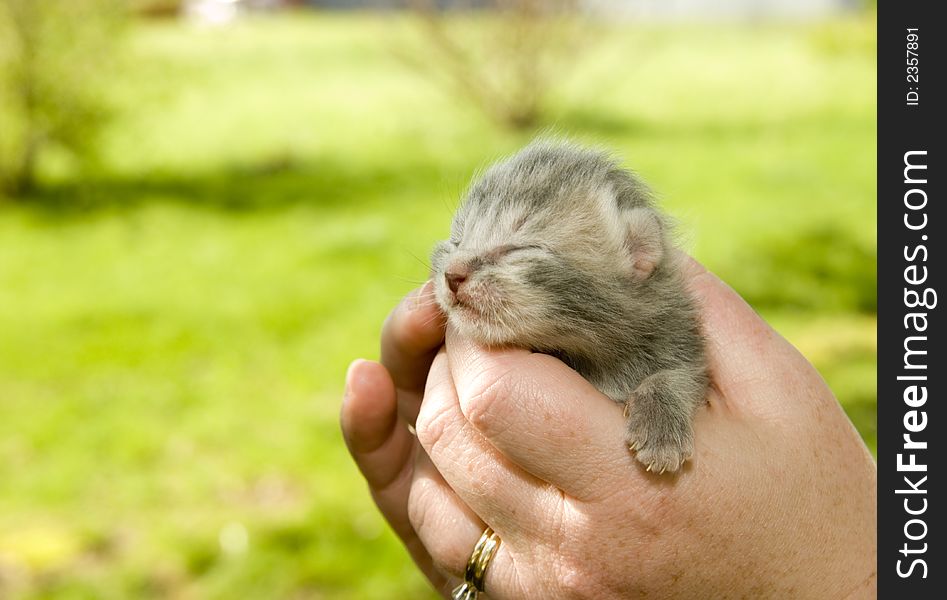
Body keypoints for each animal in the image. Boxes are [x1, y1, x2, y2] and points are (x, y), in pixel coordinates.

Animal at [434, 139, 708, 474]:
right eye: (456, 242)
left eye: (518, 249)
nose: (452, 275)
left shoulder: (679, 337)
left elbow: (684, 374)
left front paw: (661, 425)